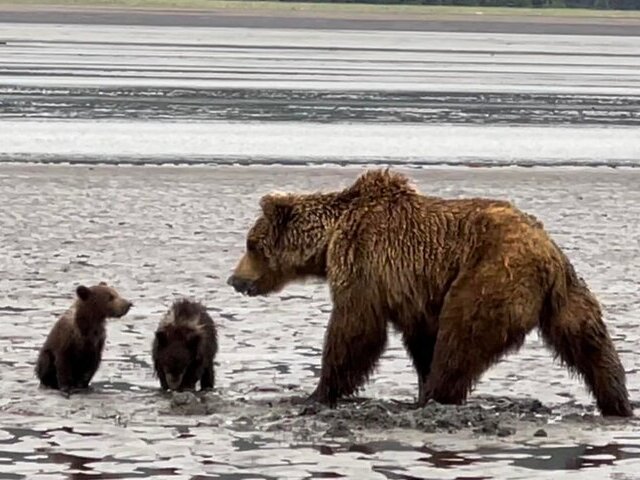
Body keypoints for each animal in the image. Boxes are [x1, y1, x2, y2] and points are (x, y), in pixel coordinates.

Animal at [228, 168, 632, 416]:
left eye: (251, 243)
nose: (234, 279)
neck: (328, 239)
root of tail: (547, 255)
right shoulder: (415, 291)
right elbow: (420, 339)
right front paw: (417, 385)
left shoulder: (361, 260)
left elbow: (355, 329)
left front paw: (318, 392)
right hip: (568, 294)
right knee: (591, 346)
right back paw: (618, 403)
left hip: (489, 276)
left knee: (460, 340)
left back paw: (437, 395)